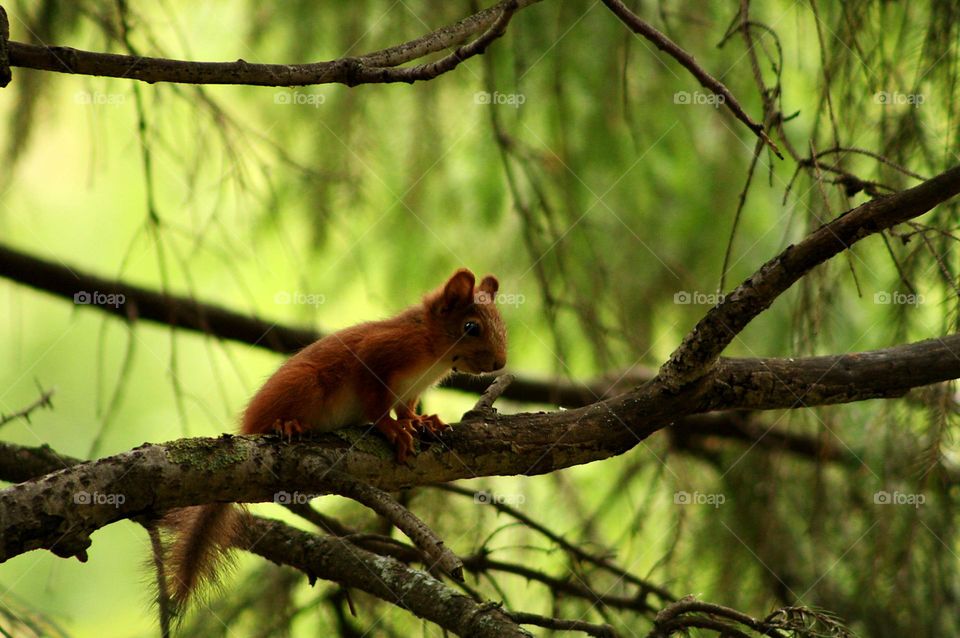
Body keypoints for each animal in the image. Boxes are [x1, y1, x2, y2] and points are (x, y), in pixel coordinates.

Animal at [163, 268, 507, 608]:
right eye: (471, 327)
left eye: (501, 323)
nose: (500, 363)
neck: (432, 352)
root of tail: (247, 427)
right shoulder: (378, 356)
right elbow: (376, 406)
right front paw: (392, 429)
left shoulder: (409, 391)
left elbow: (406, 410)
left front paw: (423, 422)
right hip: (306, 383)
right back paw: (286, 424)